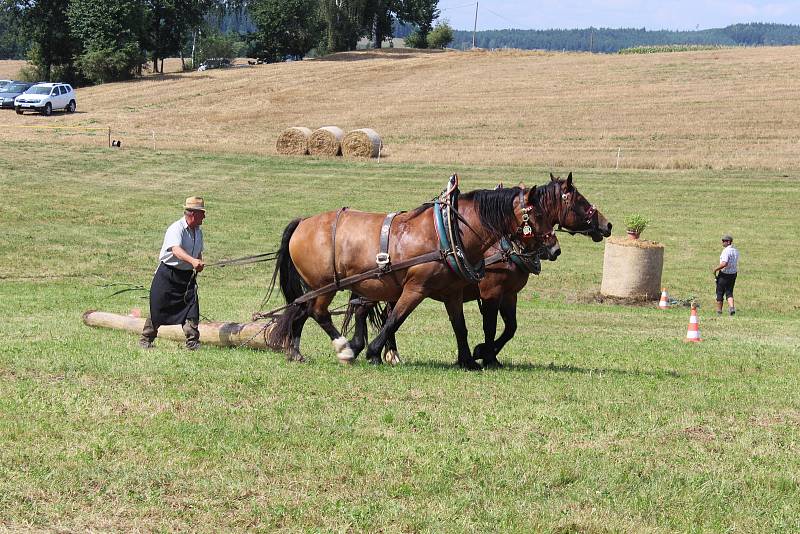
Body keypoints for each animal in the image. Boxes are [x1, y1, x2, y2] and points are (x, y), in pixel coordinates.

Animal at [268, 182, 564, 370]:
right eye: (538, 212)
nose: (554, 248)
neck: (448, 233)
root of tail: (303, 222)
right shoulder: (416, 288)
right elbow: (395, 320)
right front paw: (374, 352)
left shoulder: (453, 292)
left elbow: (461, 327)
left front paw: (469, 360)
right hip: (327, 284)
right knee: (318, 312)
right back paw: (345, 348)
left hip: (322, 286)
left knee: (301, 309)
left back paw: (295, 351)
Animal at [344, 174, 612, 370]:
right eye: (580, 201)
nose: (607, 225)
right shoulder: (491, 291)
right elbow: (490, 326)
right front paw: (486, 355)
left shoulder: (509, 294)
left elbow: (510, 327)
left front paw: (484, 353)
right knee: (367, 310)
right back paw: (372, 349)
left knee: (379, 312)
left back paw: (383, 352)